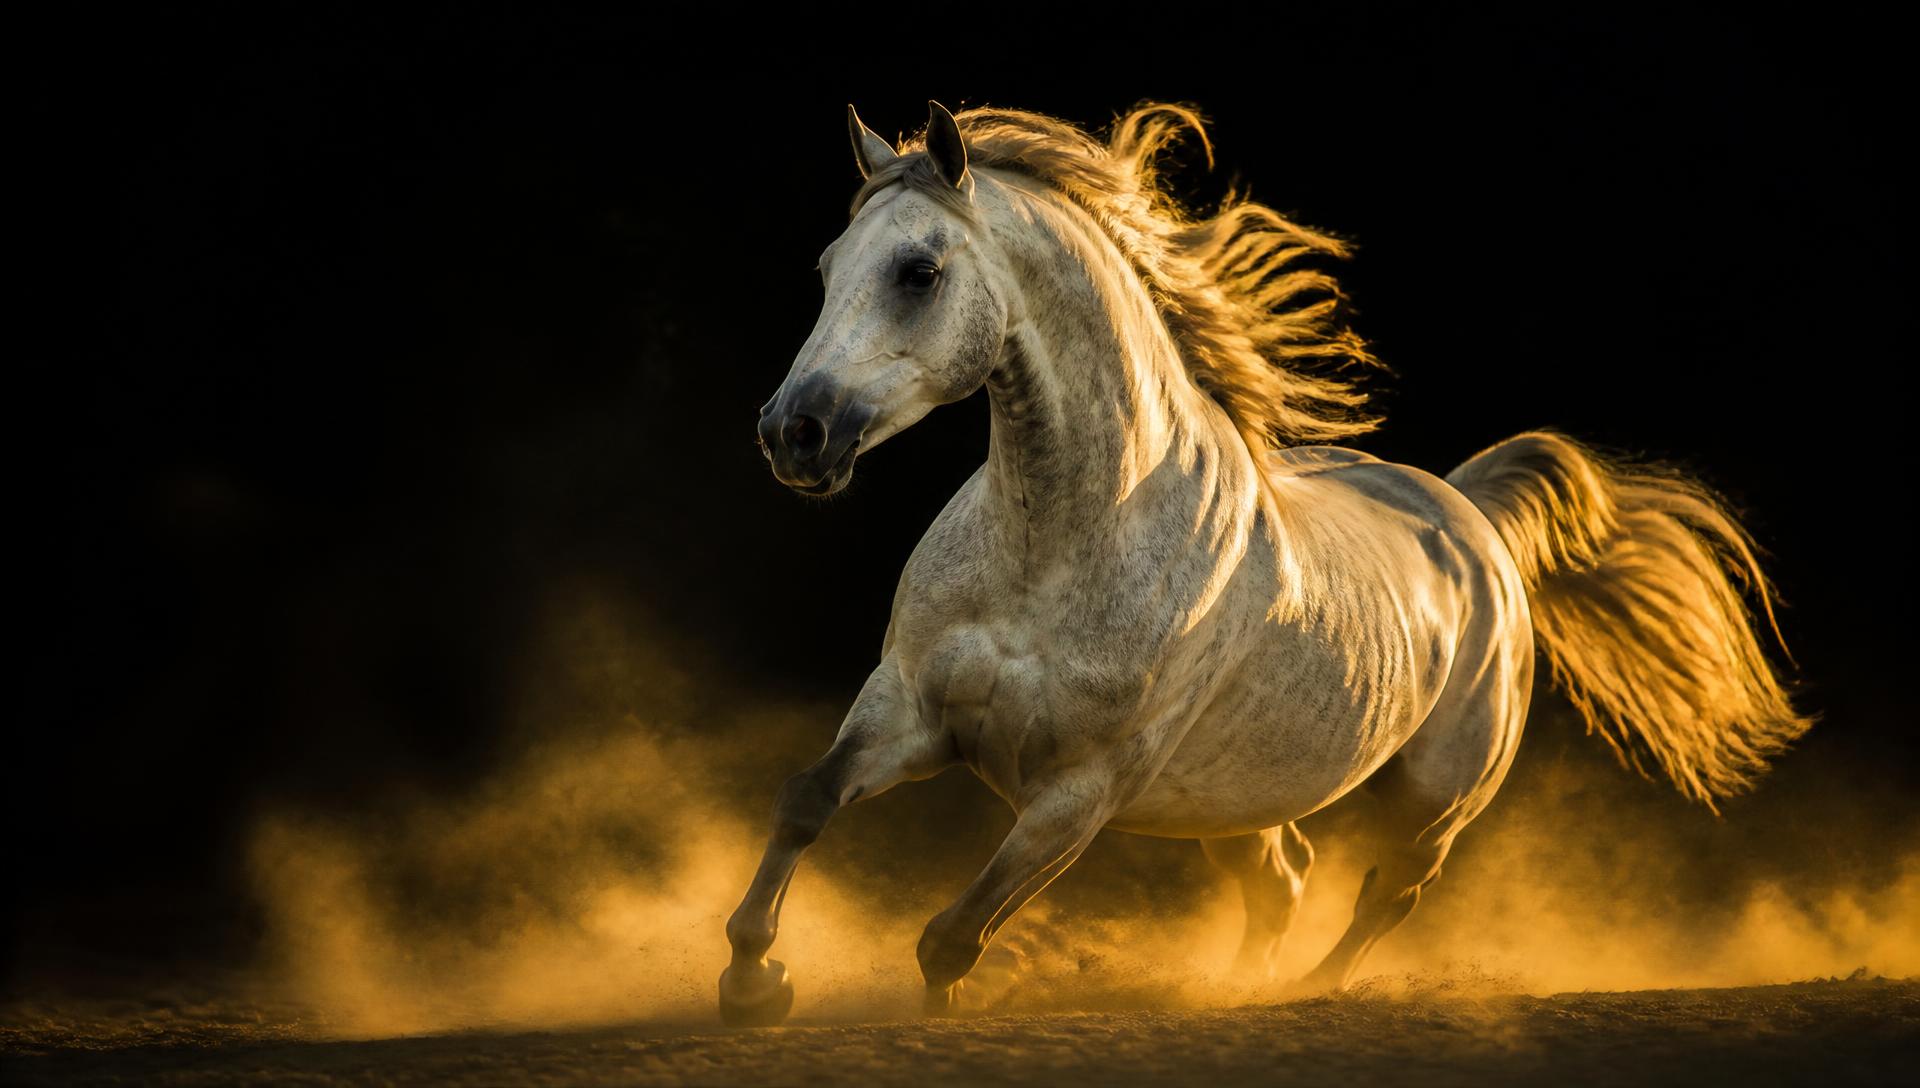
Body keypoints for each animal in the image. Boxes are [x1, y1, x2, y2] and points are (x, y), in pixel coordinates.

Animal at [718, 100, 1811, 1026]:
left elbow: (950, 938)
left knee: (1385, 895)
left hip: (1433, 803)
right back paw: (1236, 985)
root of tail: (1475, 517)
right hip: (1239, 804)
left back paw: (1297, 993)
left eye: (919, 270)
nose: (793, 433)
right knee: (1284, 879)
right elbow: (806, 800)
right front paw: (752, 982)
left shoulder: (1081, 793)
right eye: (828, 266)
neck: (1060, 544)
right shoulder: (908, 705)